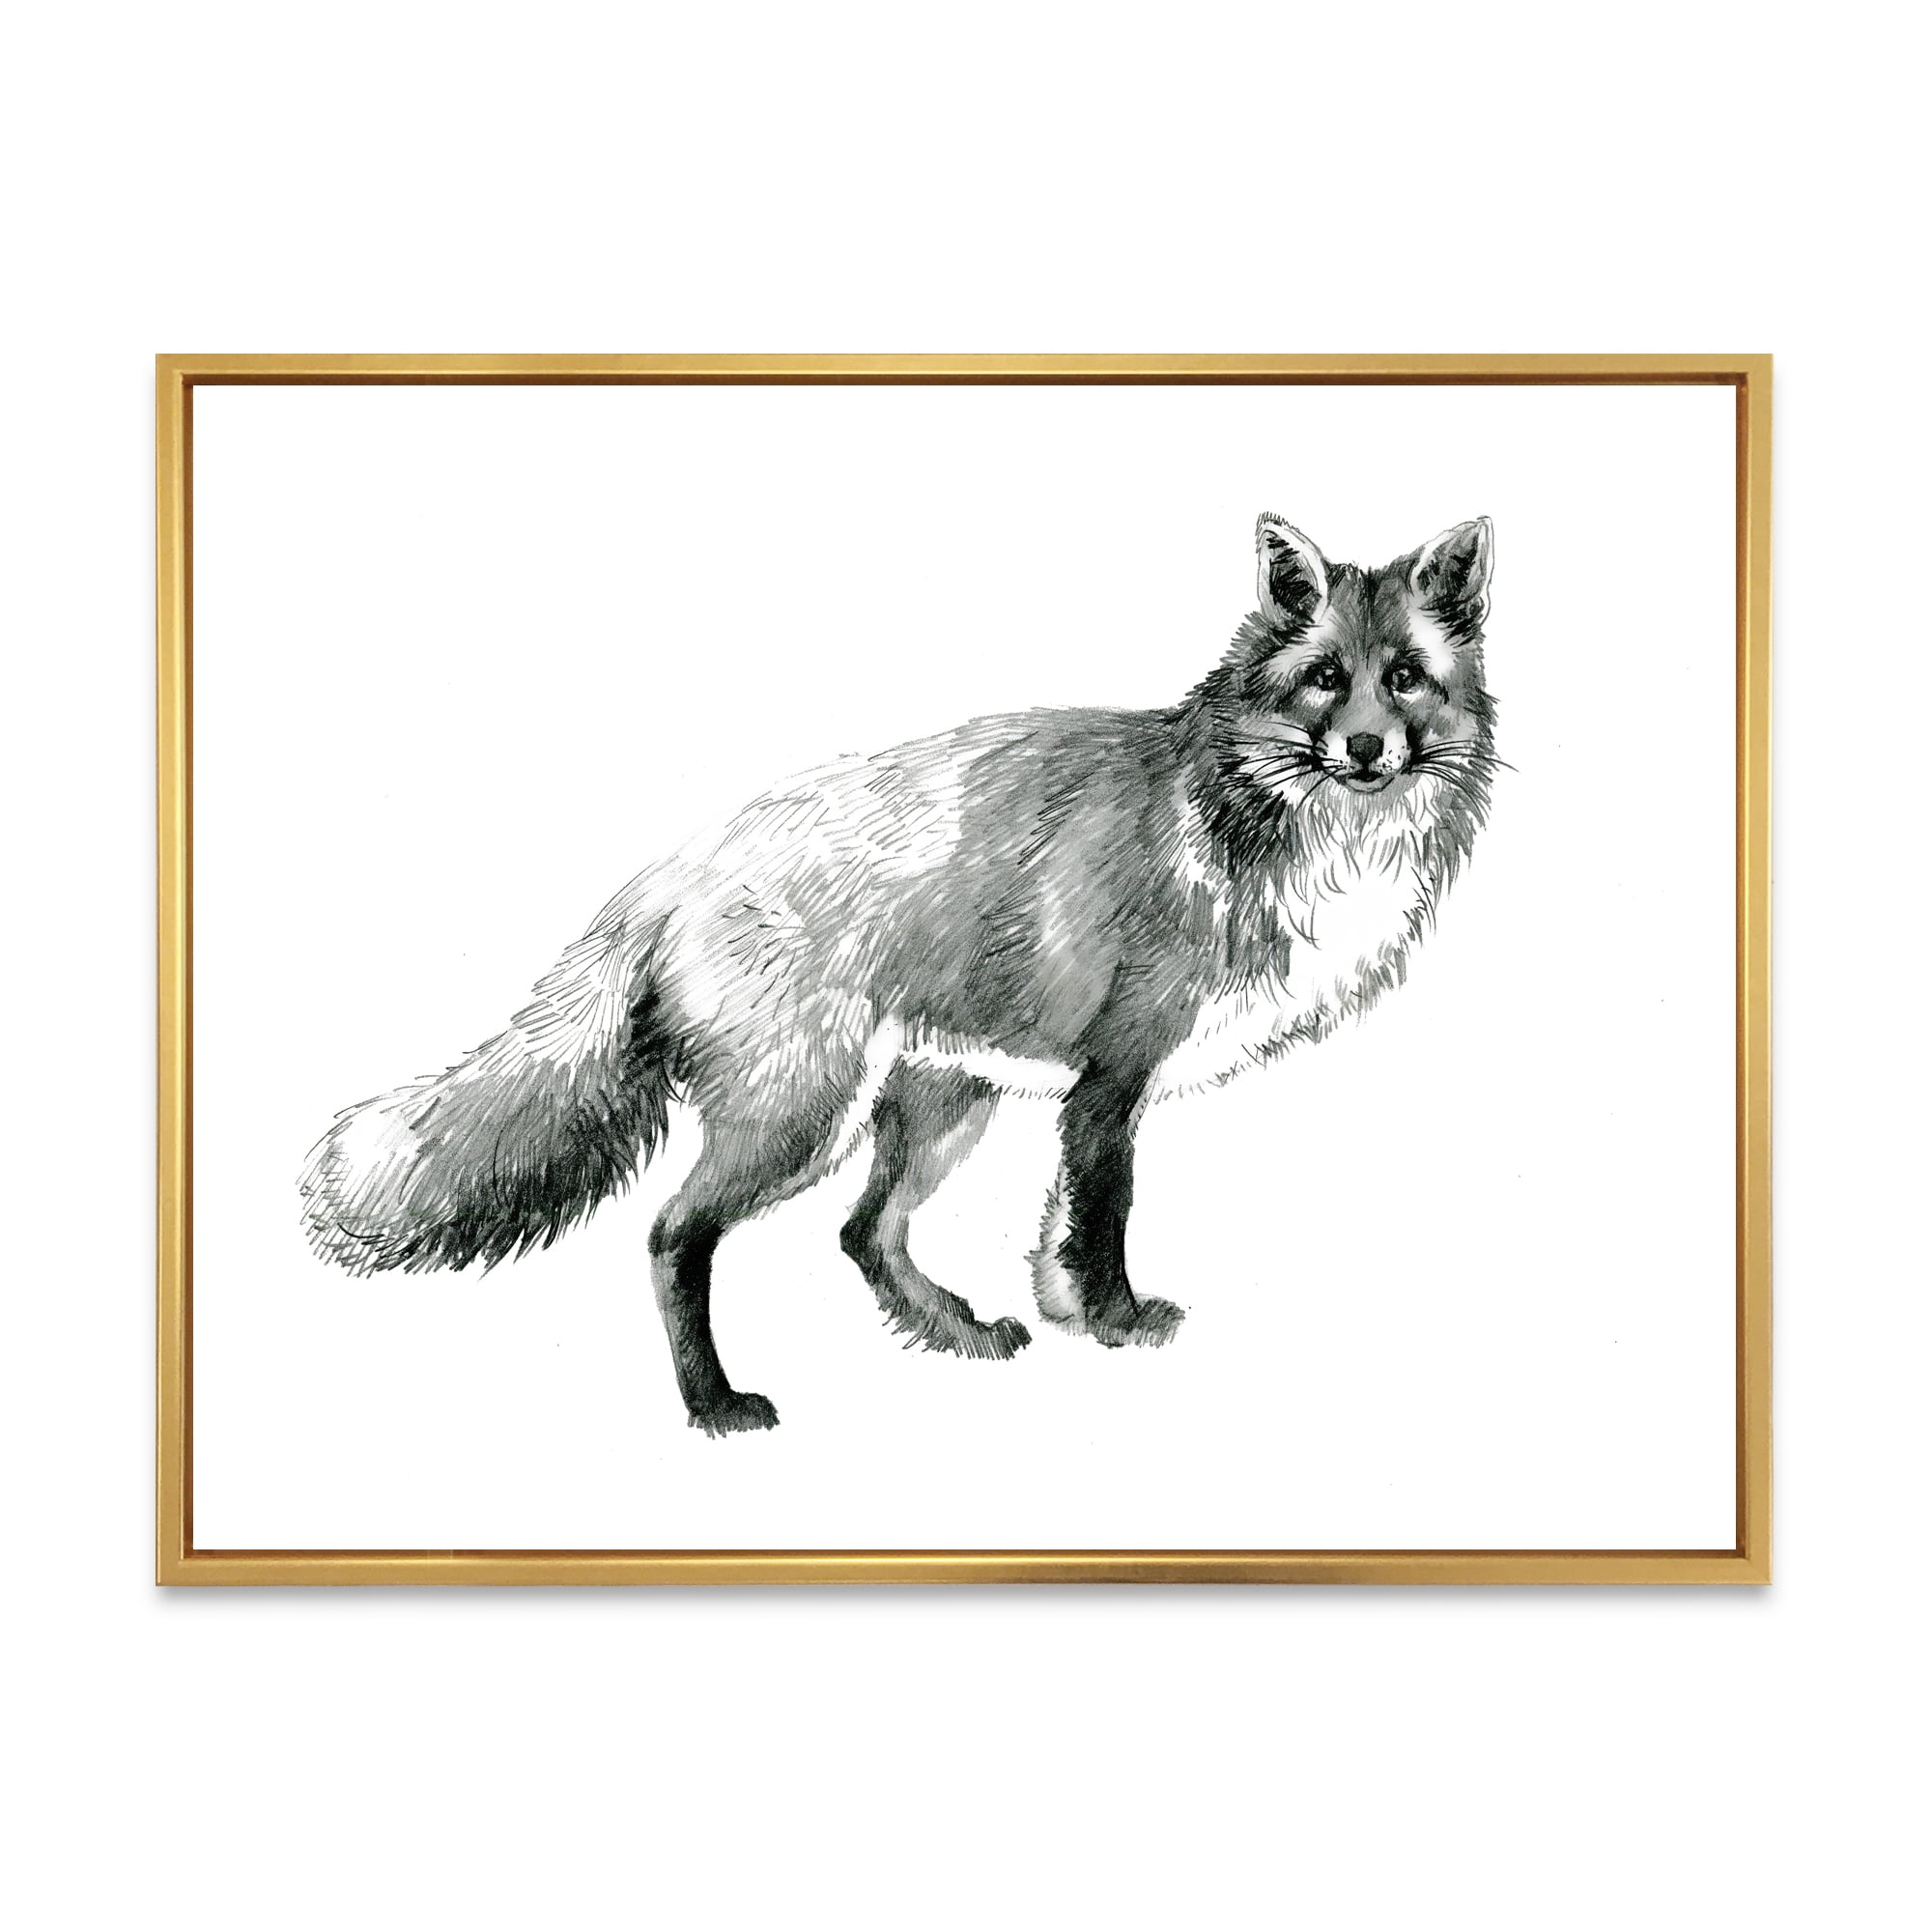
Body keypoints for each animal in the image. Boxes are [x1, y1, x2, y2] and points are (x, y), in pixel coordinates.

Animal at [302, 513, 1499, 1435]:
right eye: (1323, 681)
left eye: (1403, 680)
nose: (1365, 751)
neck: (1270, 828)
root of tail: (671, 871)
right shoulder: (1113, 1078)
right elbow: (1103, 1224)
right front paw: (1116, 1324)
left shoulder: (1076, 1096)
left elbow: (1056, 1236)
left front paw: (1068, 1318)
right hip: (801, 1116)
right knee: (673, 1233)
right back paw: (715, 1405)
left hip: (937, 1103)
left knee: (862, 1231)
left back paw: (951, 1331)